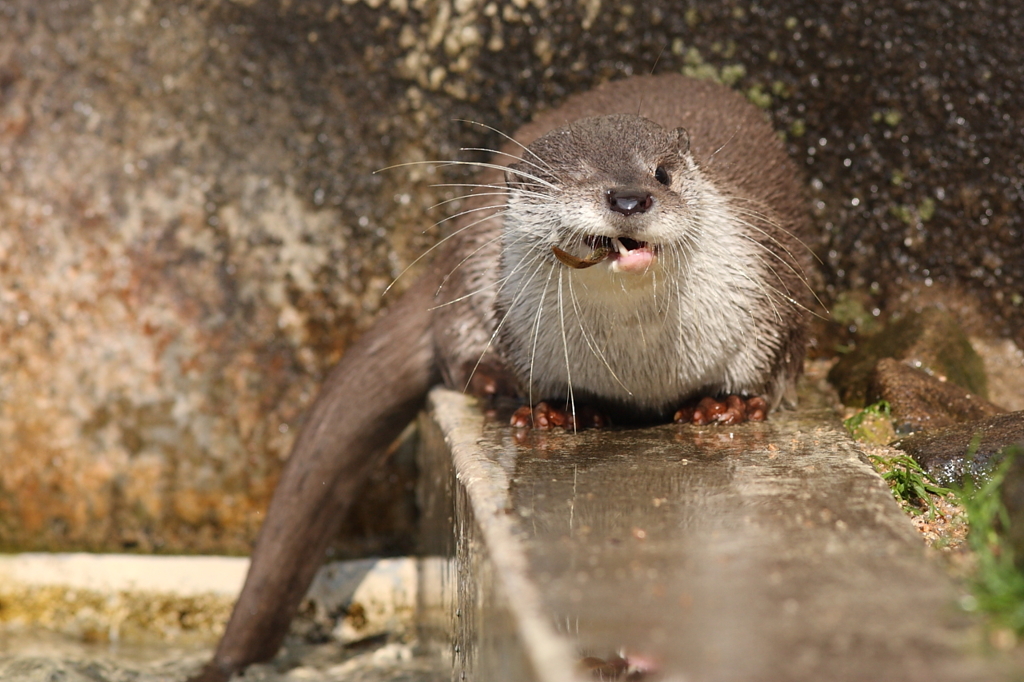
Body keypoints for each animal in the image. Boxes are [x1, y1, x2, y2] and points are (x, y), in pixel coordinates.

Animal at [190, 74, 815, 679]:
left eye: (661, 171)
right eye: (573, 179)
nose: (629, 198)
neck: (643, 366)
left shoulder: (770, 289)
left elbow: (771, 364)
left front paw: (727, 405)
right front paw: (560, 412)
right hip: (474, 258)